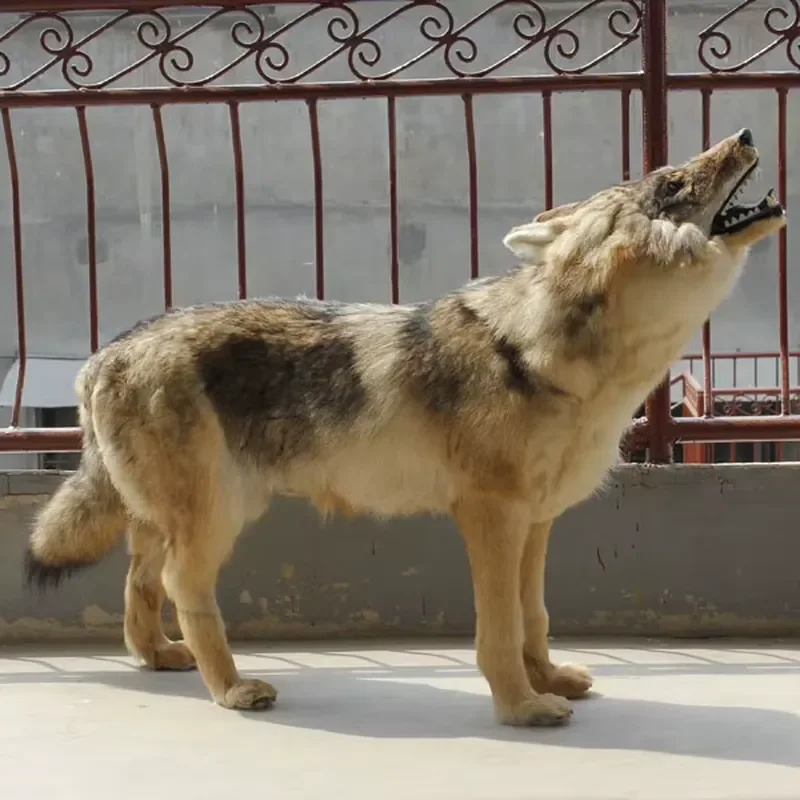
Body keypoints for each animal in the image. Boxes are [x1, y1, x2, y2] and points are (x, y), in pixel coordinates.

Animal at [25, 128, 784, 726]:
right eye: (673, 183)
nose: (747, 133)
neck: (549, 355)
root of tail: (103, 354)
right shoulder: (490, 518)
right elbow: (500, 629)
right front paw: (522, 707)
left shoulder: (535, 523)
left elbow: (534, 618)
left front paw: (549, 681)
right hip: (217, 519)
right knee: (181, 586)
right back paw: (233, 689)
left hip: (171, 515)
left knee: (137, 580)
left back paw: (159, 658)